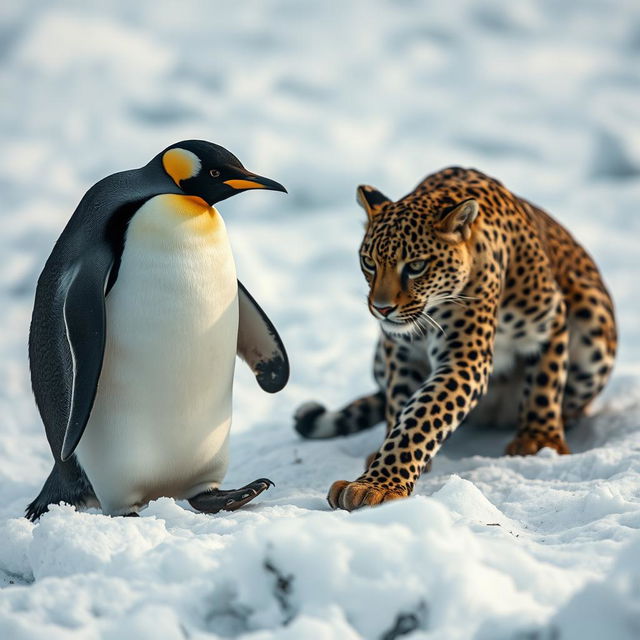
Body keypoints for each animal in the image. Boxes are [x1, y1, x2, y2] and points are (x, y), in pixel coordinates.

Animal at [294, 168, 616, 512]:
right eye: (369, 263)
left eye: (416, 266)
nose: (381, 309)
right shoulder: (401, 351)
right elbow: (403, 406)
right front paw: (383, 465)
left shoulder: (489, 347)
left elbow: (542, 384)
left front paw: (540, 440)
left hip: (594, 321)